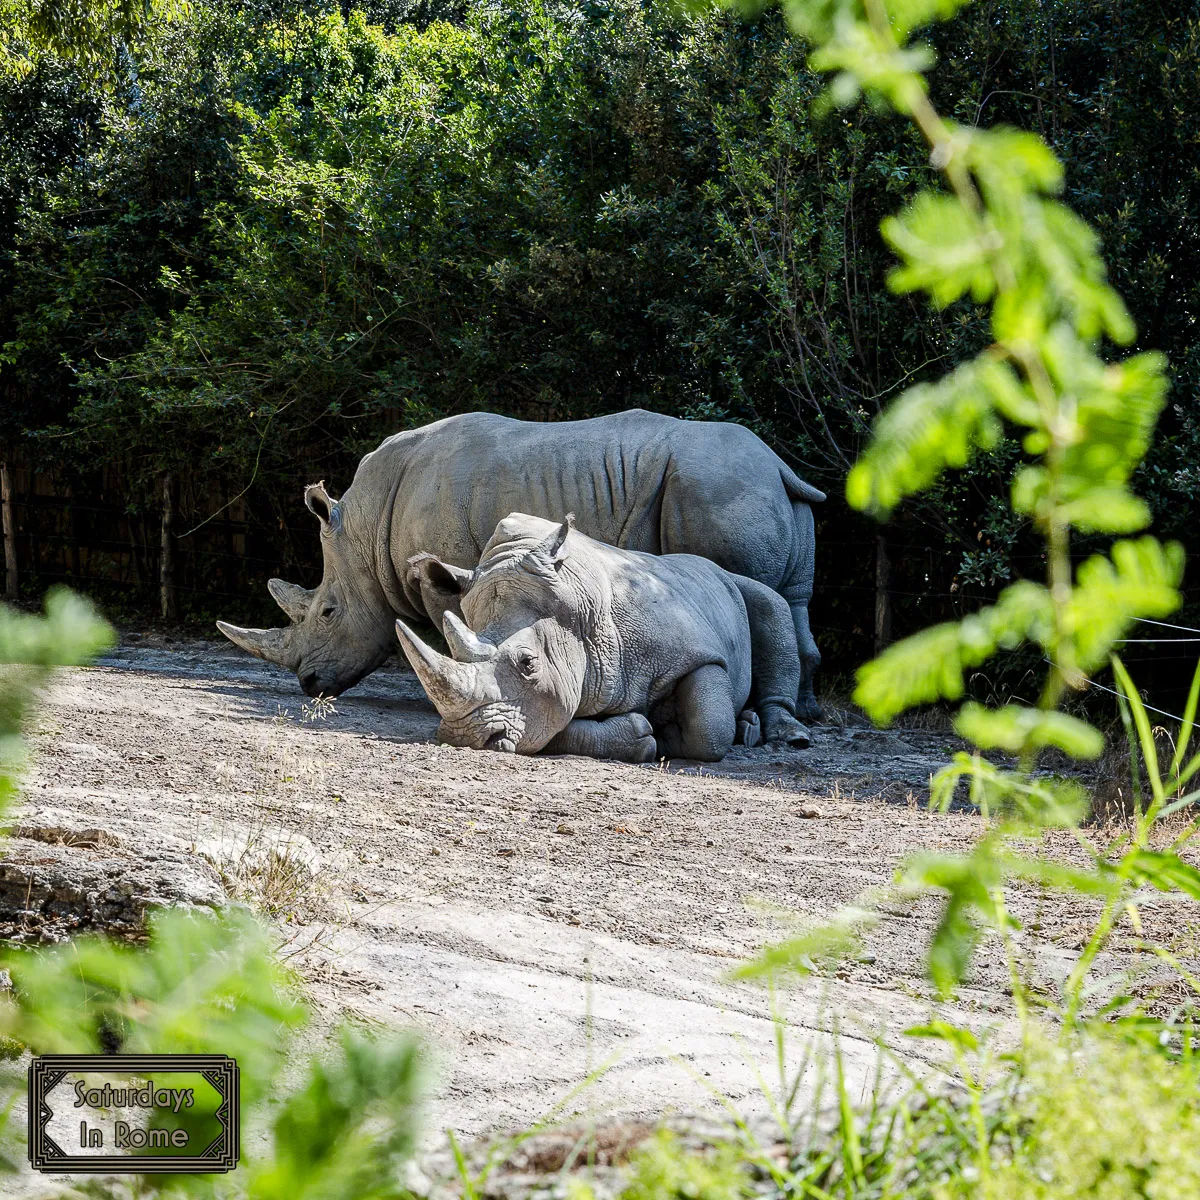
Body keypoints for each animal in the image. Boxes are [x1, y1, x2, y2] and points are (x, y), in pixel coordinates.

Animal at [216, 408, 825, 715]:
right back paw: (801, 720)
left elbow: (450, 624)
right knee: (795, 602)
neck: (363, 533)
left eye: (327, 613)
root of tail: (778, 465)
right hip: (754, 488)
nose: (308, 683)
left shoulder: (444, 571)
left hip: (715, 487)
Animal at [393, 513, 806, 758]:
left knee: (770, 603)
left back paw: (781, 735)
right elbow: (555, 718)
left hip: (729, 585)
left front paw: (665, 732)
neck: (581, 617)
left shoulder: (696, 652)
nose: (467, 738)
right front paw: (640, 734)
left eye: (528, 663)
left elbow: (710, 728)